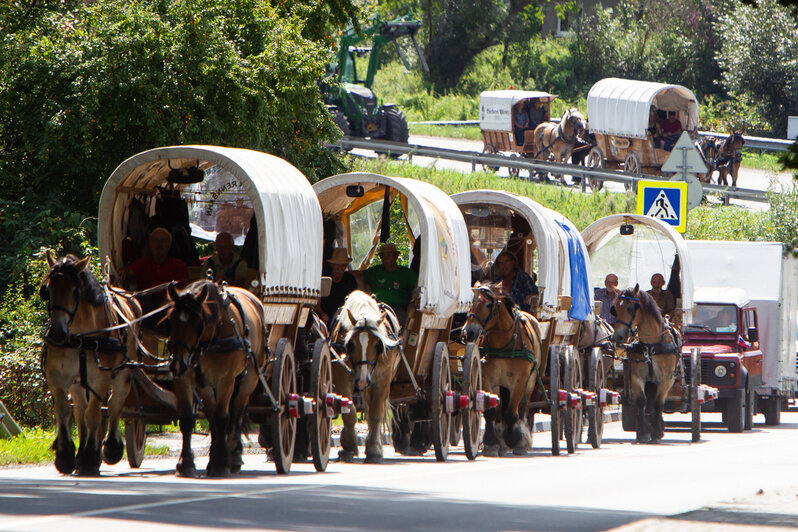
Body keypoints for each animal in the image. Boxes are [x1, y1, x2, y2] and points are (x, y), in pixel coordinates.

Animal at [41, 251, 142, 476]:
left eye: (75, 291)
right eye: (48, 290)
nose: (57, 333)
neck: (80, 336)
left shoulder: (100, 377)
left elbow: (94, 414)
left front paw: (89, 459)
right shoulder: (57, 377)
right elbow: (65, 410)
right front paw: (66, 457)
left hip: (123, 372)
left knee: (114, 403)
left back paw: (111, 448)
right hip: (78, 381)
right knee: (80, 408)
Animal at [166, 280, 268, 476]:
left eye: (198, 322)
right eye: (171, 320)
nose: (178, 364)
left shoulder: (226, 380)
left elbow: (222, 417)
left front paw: (221, 464)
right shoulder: (184, 380)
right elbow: (188, 419)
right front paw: (186, 463)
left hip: (250, 377)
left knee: (237, 412)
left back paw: (233, 456)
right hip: (205, 385)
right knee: (212, 415)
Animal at [332, 288, 404, 464]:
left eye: (378, 344)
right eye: (350, 344)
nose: (363, 381)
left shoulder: (382, 380)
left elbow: (376, 413)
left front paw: (373, 451)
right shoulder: (342, 377)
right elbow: (350, 412)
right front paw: (348, 446)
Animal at [462, 284, 544, 456]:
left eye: (488, 305)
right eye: (471, 302)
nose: (468, 332)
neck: (503, 343)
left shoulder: (520, 380)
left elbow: (512, 413)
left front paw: (516, 441)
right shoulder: (488, 380)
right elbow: (492, 412)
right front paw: (492, 443)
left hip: (530, 382)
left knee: (523, 409)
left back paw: (523, 439)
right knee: (501, 412)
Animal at [612, 286, 680, 444]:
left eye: (630, 308)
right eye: (615, 308)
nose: (617, 337)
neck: (651, 344)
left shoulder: (665, 379)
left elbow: (658, 403)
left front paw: (655, 433)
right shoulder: (636, 377)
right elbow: (641, 401)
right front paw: (643, 433)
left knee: (657, 403)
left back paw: (659, 429)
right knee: (649, 403)